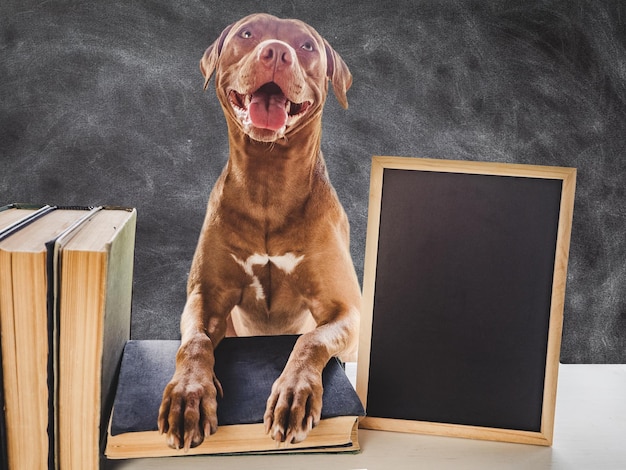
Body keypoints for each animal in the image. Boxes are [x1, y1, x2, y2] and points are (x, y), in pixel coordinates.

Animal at [156, 12, 360, 450]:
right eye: (248, 33)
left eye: (306, 46)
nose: (277, 52)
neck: (269, 181)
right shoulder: (206, 296)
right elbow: (195, 343)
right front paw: (188, 394)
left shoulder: (345, 308)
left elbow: (309, 340)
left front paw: (294, 393)